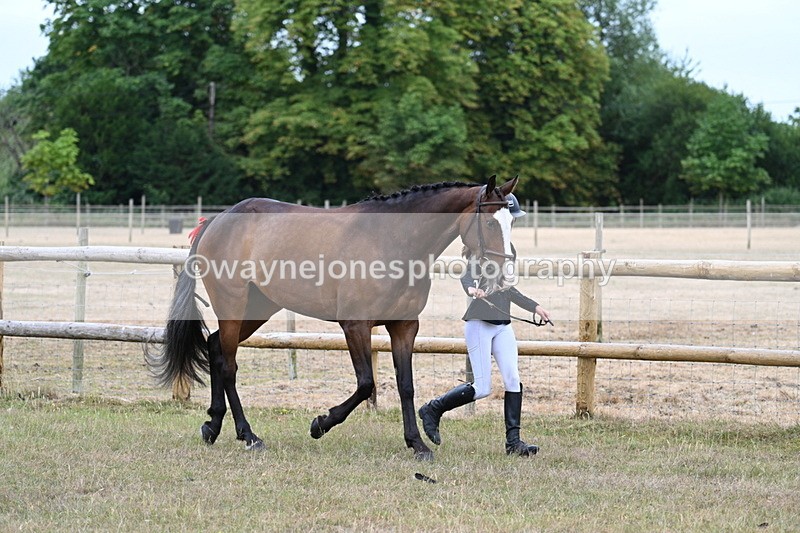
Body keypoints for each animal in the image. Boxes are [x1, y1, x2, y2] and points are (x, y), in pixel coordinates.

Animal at [149, 175, 519, 459]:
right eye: (490, 221)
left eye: (511, 222)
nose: (500, 275)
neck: (393, 241)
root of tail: (218, 219)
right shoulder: (355, 326)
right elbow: (366, 383)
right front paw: (320, 424)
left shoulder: (404, 327)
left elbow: (406, 386)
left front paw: (417, 444)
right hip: (233, 305)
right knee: (227, 364)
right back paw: (249, 436)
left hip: (258, 309)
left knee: (214, 348)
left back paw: (212, 426)